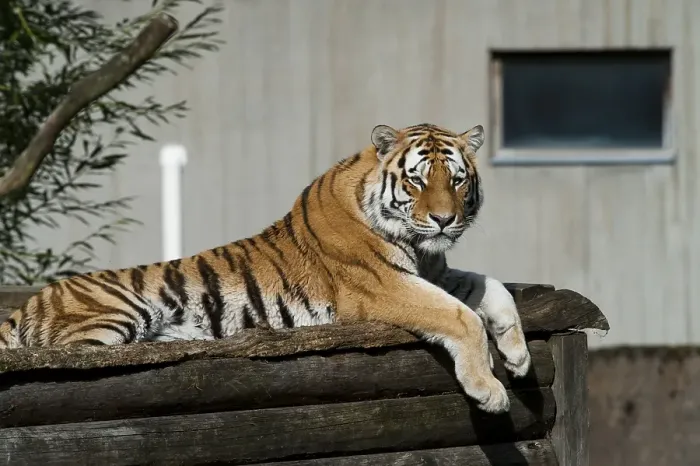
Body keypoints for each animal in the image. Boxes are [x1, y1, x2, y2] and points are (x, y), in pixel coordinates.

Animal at [0, 122, 530, 414]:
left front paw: (518, 354)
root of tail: (30, 301)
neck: (420, 247)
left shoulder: (433, 273)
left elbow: (492, 288)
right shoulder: (385, 286)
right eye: (418, 180)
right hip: (112, 318)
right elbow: (461, 317)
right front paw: (490, 390)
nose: (443, 219)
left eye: (457, 180)